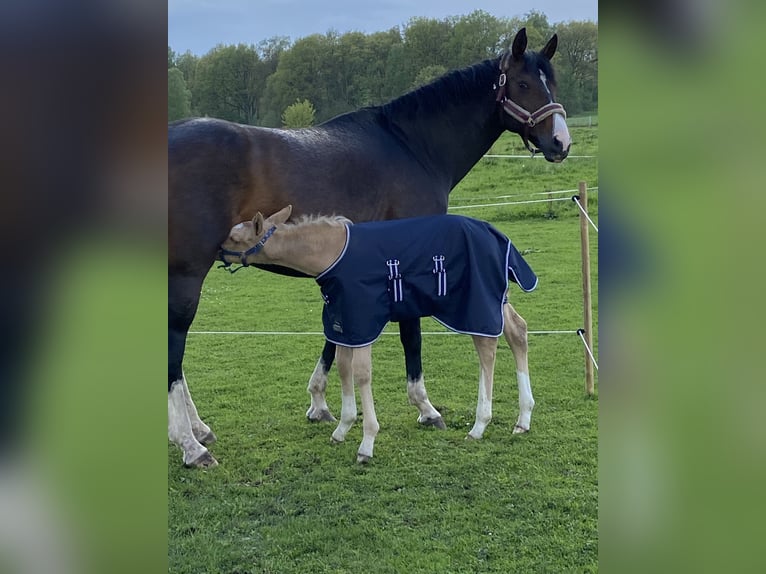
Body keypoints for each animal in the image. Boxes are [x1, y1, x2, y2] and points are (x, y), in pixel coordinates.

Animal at [219, 206, 536, 464]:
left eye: (234, 238)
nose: (216, 250)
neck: (330, 252)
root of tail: (496, 234)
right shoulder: (345, 324)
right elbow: (343, 368)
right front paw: (342, 428)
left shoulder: (364, 319)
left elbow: (361, 373)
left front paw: (367, 443)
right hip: (496, 295)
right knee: (517, 331)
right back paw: (523, 419)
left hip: (475, 301)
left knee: (487, 345)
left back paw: (480, 424)